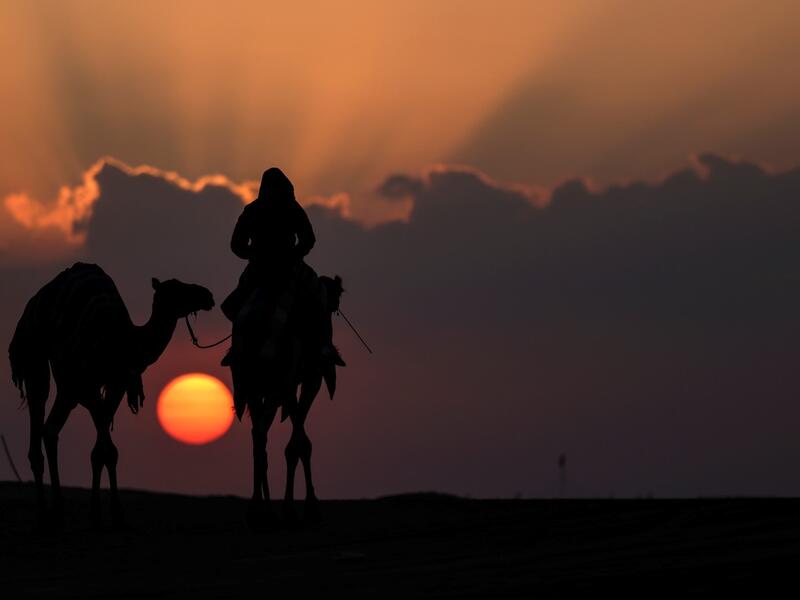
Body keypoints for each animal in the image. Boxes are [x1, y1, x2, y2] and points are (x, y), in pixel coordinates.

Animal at [9, 262, 214, 528]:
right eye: (177, 290)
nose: (207, 295)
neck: (127, 342)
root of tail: (33, 304)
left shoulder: (116, 385)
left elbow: (102, 451)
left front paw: (101, 513)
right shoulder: (87, 386)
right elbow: (107, 447)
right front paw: (111, 513)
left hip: (67, 384)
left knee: (50, 429)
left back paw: (58, 510)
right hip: (39, 356)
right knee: (40, 410)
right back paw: (45, 513)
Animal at [227, 267, 343, 528]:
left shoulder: (276, 389)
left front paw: (287, 508)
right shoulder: (309, 380)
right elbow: (300, 444)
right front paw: (306, 508)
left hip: (254, 384)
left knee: (258, 436)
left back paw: (260, 511)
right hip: (283, 380)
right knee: (265, 433)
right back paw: (267, 511)